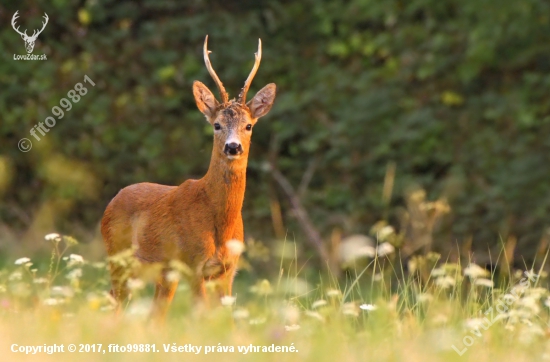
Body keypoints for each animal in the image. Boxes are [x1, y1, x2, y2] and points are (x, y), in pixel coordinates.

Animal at [100, 34, 276, 316]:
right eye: (217, 124)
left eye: (248, 125)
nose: (233, 147)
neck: (221, 223)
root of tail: (113, 199)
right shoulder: (193, 264)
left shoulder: (227, 271)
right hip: (119, 257)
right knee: (115, 301)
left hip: (161, 273)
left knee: (153, 313)